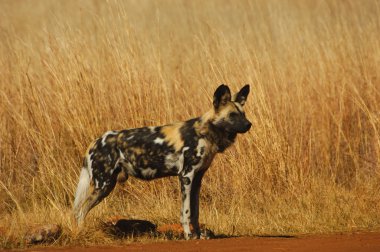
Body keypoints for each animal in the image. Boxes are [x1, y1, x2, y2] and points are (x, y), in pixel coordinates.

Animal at [73, 83, 252, 239]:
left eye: (243, 114)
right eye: (232, 115)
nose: (249, 124)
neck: (206, 132)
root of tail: (95, 142)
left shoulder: (197, 180)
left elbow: (195, 213)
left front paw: (199, 235)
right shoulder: (186, 176)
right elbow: (186, 212)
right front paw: (188, 236)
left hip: (107, 186)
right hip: (103, 185)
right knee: (81, 211)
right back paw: (81, 232)